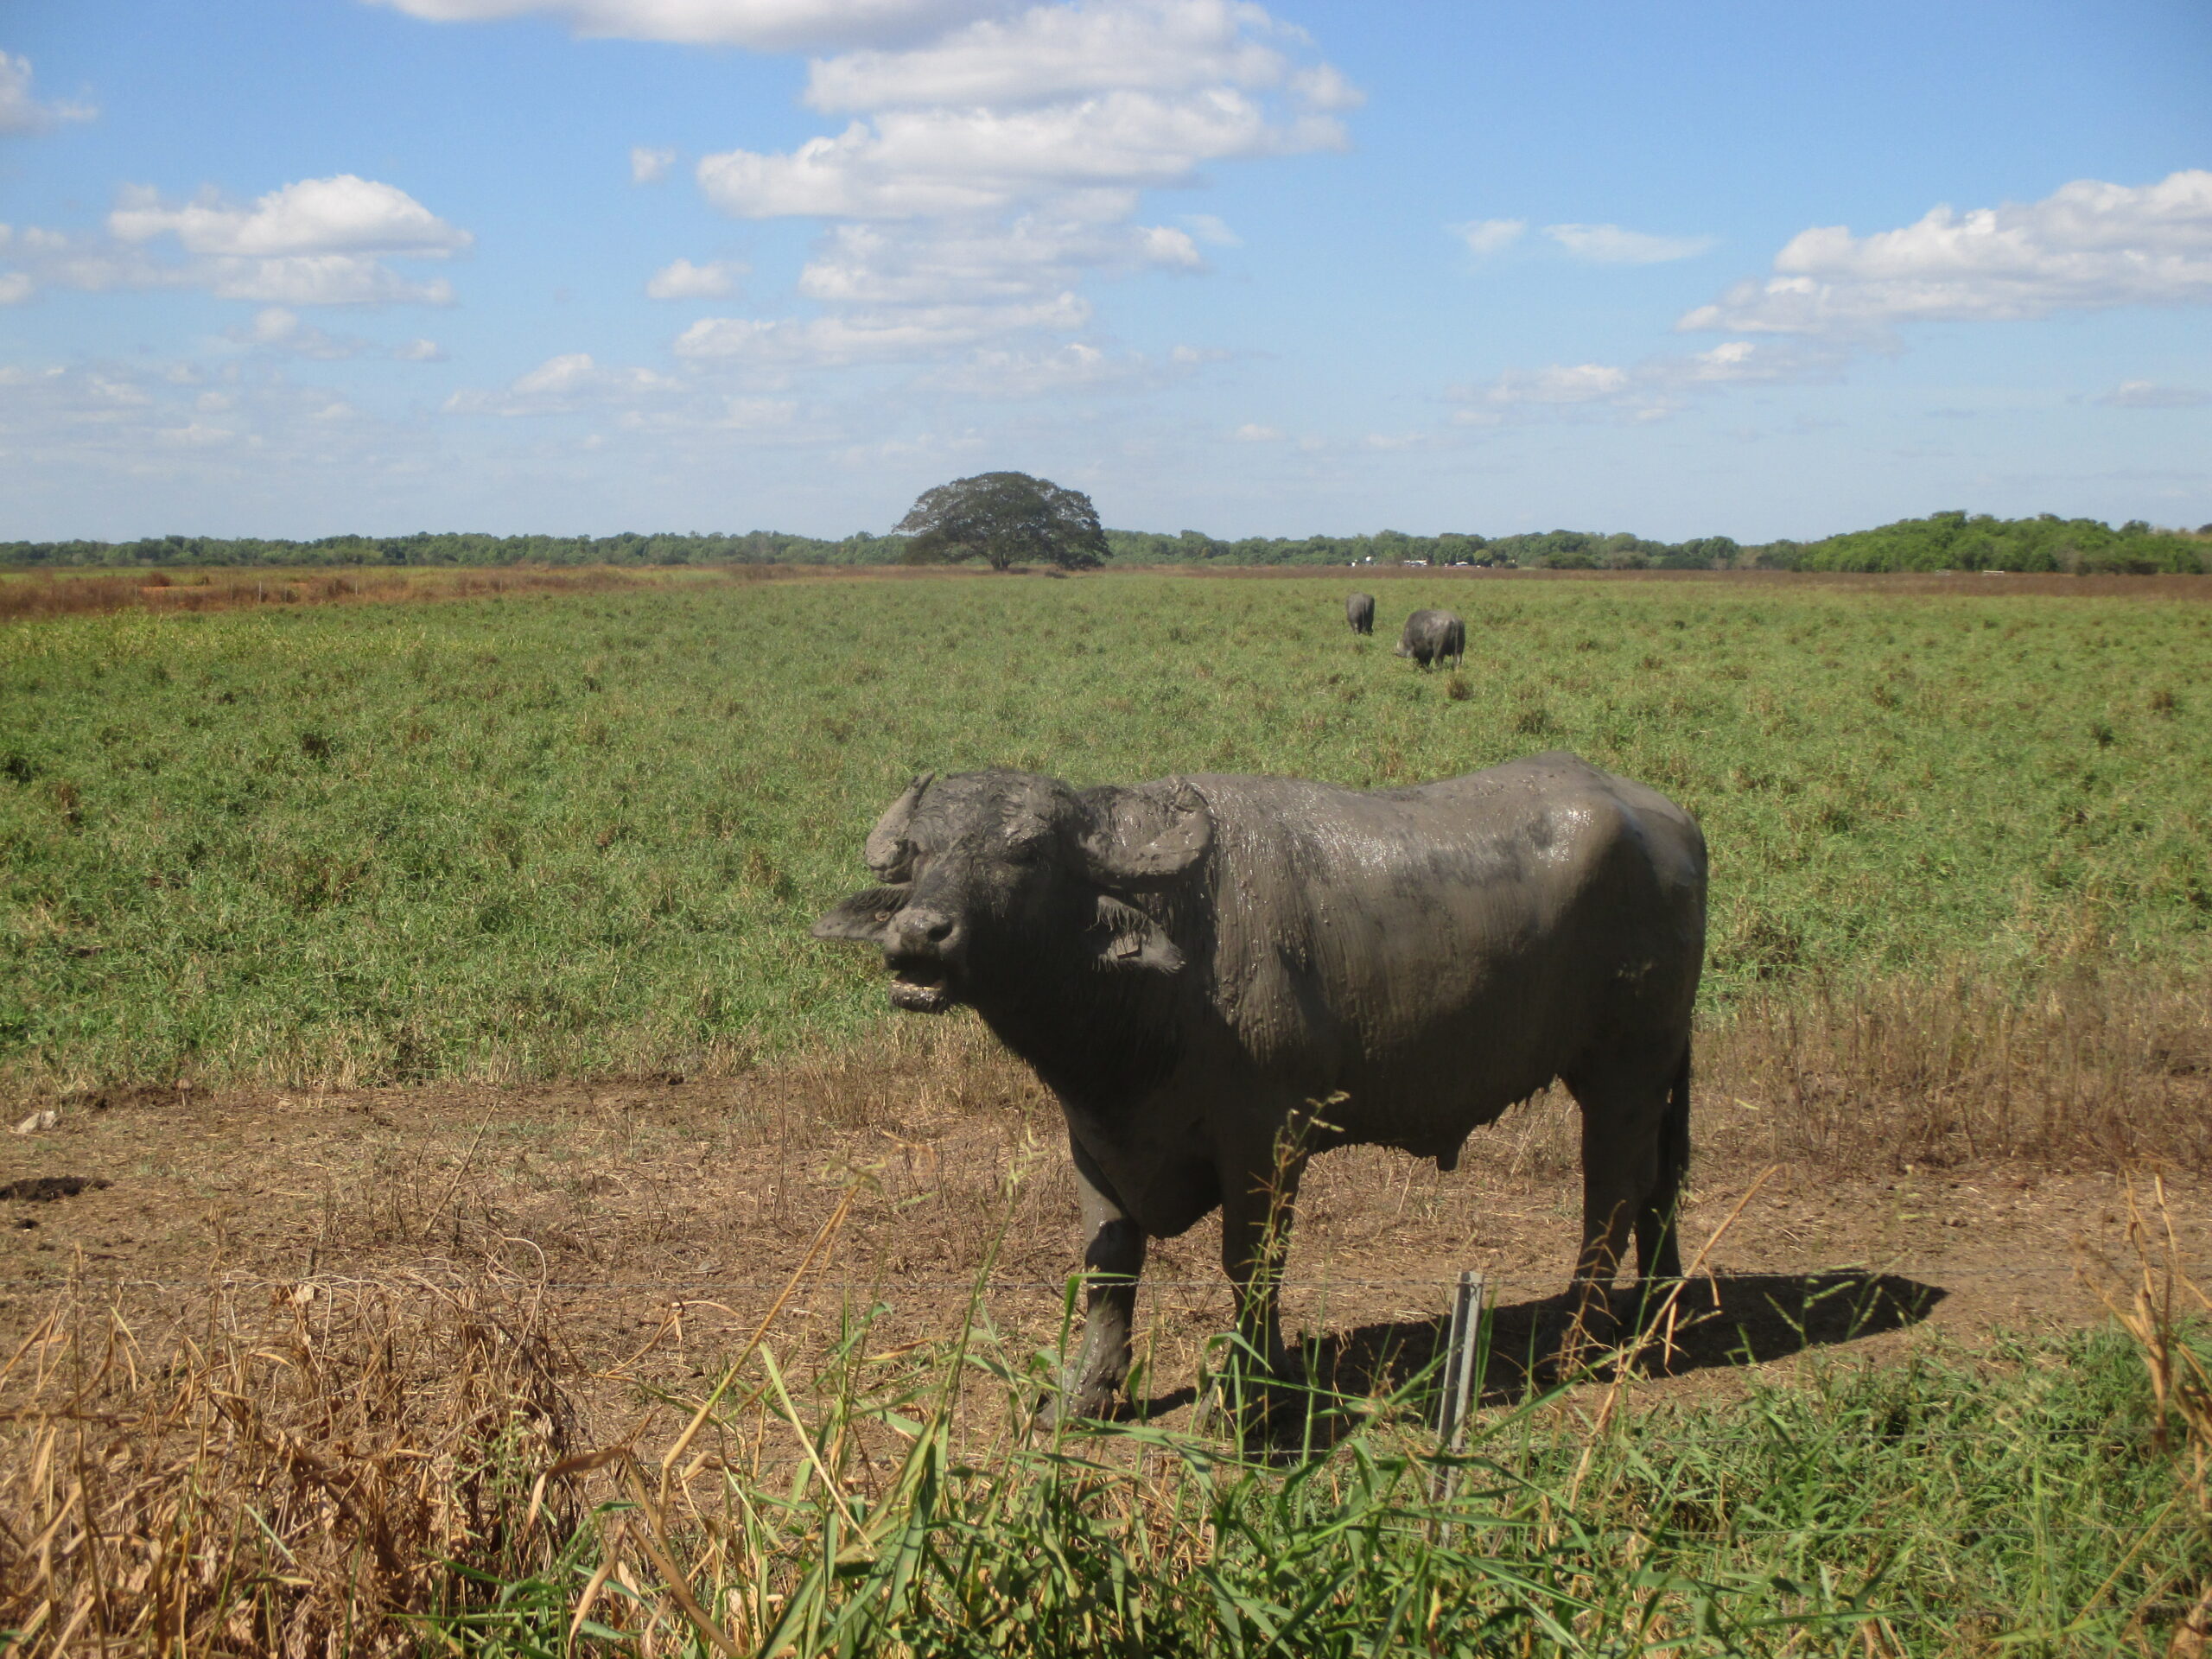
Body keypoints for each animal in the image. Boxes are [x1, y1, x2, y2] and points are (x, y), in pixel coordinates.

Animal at [814, 752, 1707, 1433]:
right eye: (921, 853)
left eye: (1027, 851)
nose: (919, 935)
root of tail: (1670, 822)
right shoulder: (1092, 1136)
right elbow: (1109, 1263)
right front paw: (1084, 1394)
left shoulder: (1265, 1138)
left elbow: (1250, 1265)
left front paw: (1244, 1398)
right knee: (1660, 1184)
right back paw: (1661, 1320)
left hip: (1624, 1069)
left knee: (1613, 1191)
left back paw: (1576, 1345)